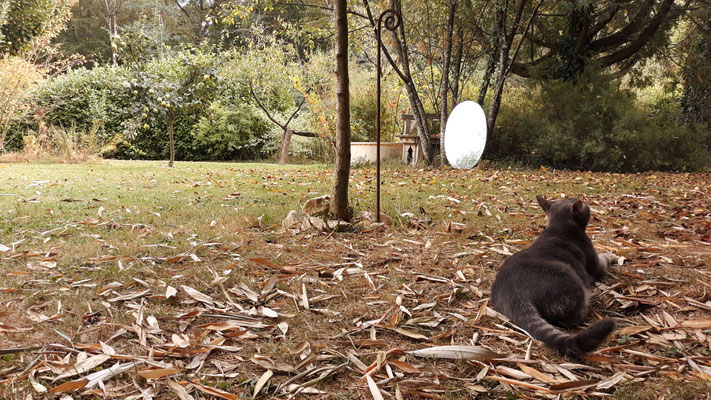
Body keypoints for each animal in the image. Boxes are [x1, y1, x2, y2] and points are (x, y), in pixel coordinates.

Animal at [490, 195, 616, 354]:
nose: (586, 202)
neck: (557, 227)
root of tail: (514, 295)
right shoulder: (595, 263)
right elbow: (604, 258)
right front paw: (613, 255)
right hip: (569, 276)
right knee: (572, 318)